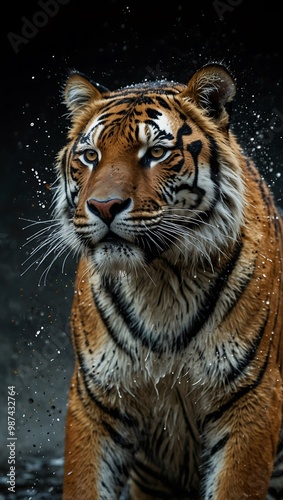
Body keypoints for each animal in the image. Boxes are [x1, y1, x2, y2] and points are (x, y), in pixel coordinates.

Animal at [52, 63, 283, 500]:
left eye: (155, 153)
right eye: (90, 156)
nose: (103, 206)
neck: (160, 280)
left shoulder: (250, 396)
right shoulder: (96, 397)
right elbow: (83, 481)